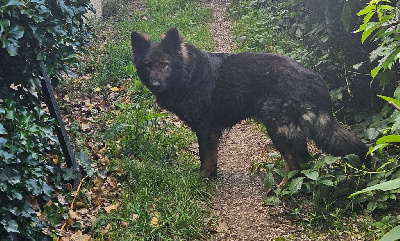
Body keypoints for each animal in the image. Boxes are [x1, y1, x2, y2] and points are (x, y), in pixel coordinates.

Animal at [130, 27, 370, 181]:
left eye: (165, 64)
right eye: (148, 65)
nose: (156, 84)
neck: (187, 74)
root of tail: (316, 81)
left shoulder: (206, 129)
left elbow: (206, 157)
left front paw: (203, 178)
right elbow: (210, 158)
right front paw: (211, 176)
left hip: (277, 127)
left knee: (294, 162)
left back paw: (282, 189)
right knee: (304, 161)